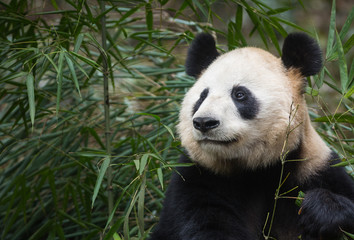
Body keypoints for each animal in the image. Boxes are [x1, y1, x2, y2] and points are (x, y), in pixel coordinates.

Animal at [149, 32, 354, 240]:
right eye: (202, 96)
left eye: (239, 94)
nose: (204, 122)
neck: (256, 169)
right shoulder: (197, 178)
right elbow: (206, 225)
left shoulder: (314, 167)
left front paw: (321, 210)